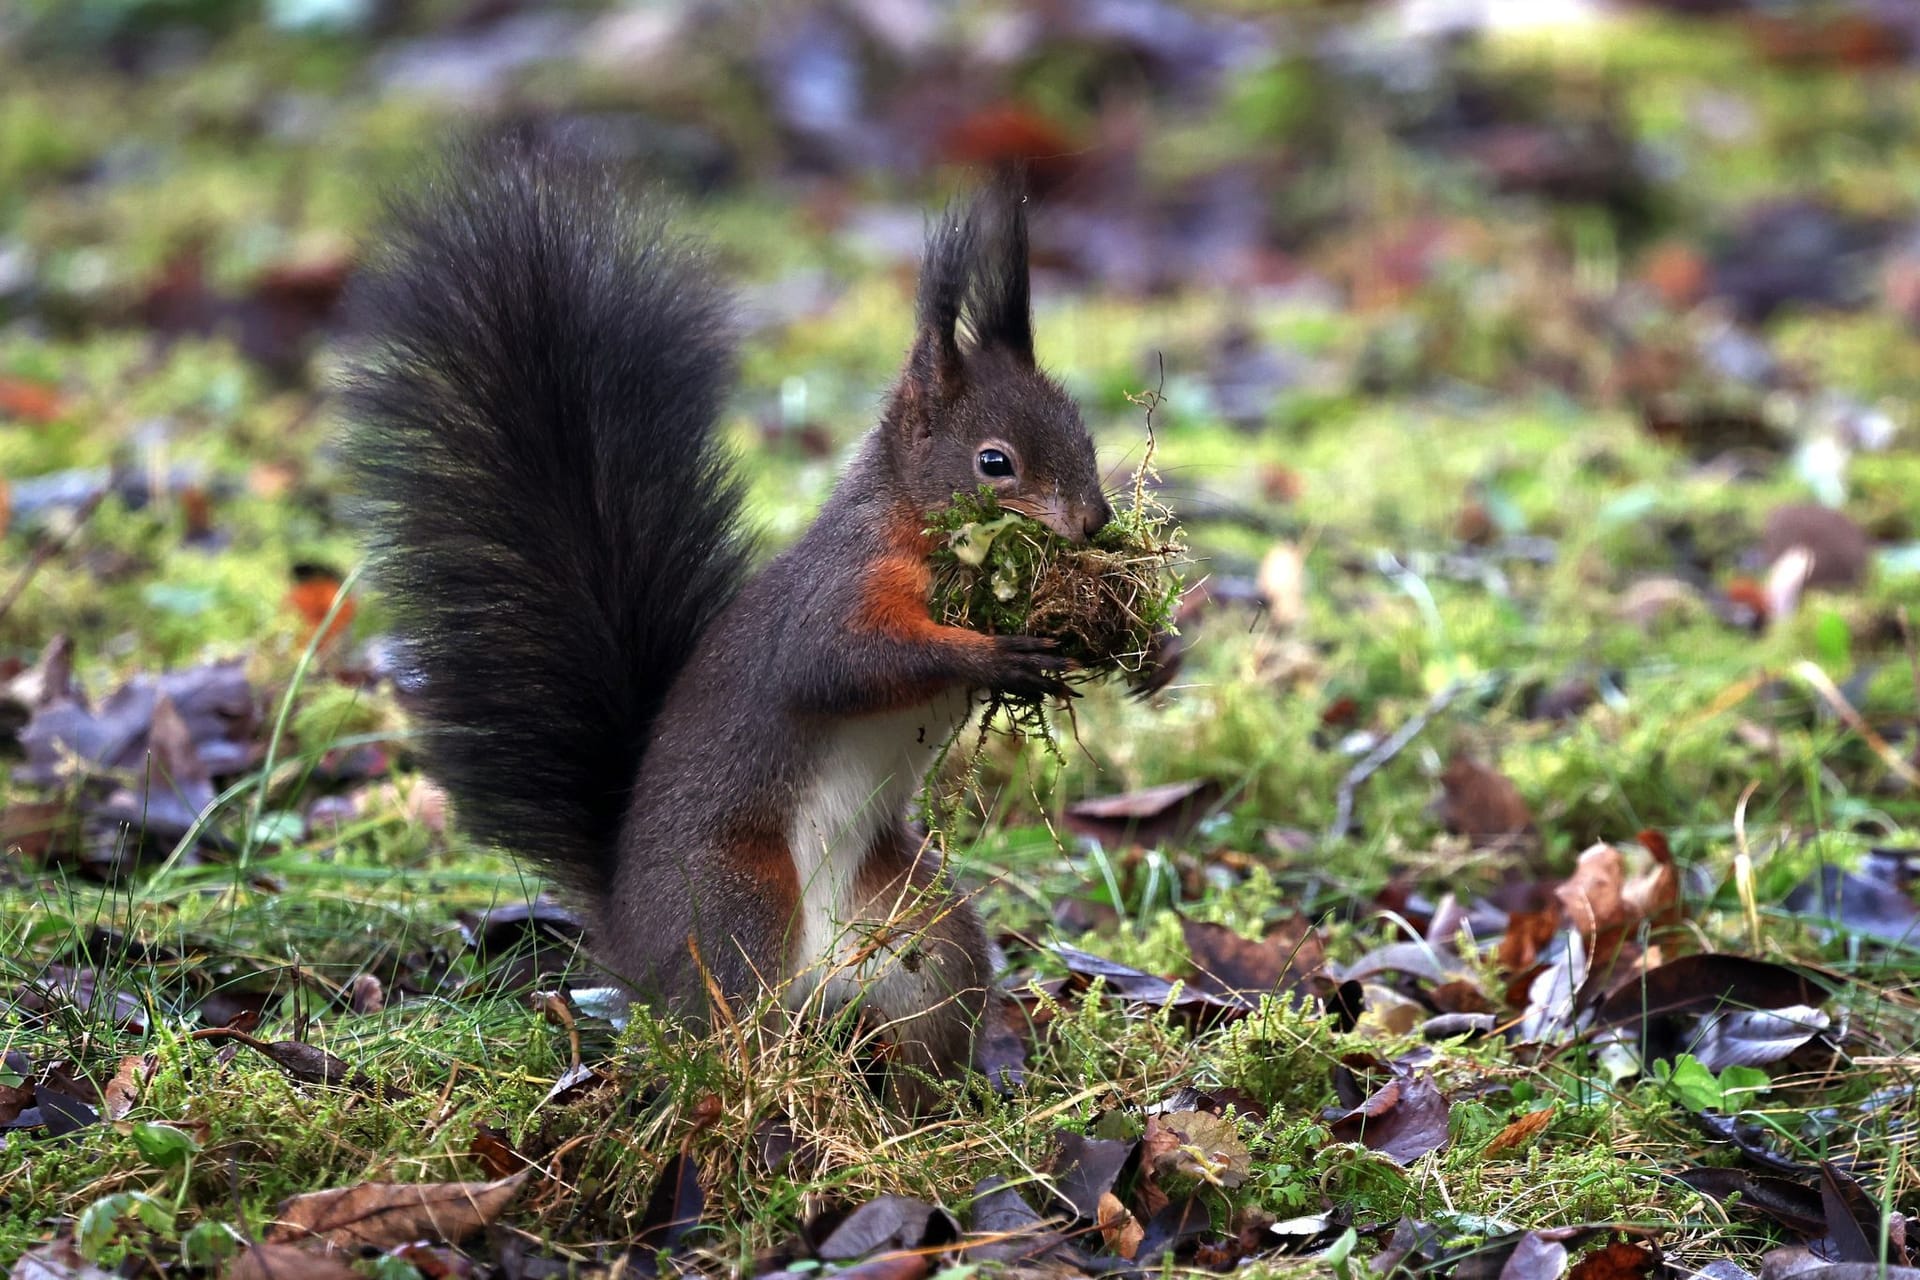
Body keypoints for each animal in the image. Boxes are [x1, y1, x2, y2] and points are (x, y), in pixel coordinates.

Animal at [345, 135, 1113, 1105]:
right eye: (994, 462)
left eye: (1084, 435)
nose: (1097, 523)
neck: (907, 522)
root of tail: (629, 940)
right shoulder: (839, 590)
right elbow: (840, 663)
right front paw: (992, 655)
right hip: (736, 899)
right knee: (731, 1024)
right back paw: (763, 1089)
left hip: (920, 928)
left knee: (922, 1018)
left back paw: (935, 1103)